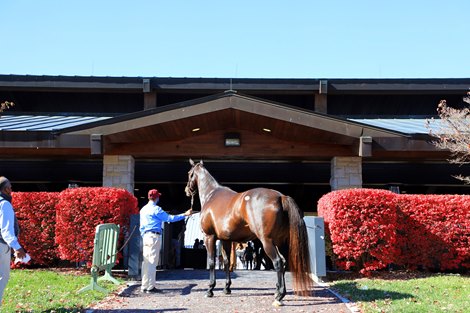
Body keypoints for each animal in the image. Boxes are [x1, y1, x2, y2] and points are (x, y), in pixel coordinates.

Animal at [184, 160, 312, 304]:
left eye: (189, 173)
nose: (187, 190)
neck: (211, 195)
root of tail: (280, 197)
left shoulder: (209, 237)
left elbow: (211, 262)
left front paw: (210, 289)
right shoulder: (225, 240)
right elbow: (227, 263)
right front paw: (227, 288)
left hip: (267, 242)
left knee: (278, 262)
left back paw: (279, 296)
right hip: (280, 242)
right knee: (284, 262)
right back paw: (277, 292)